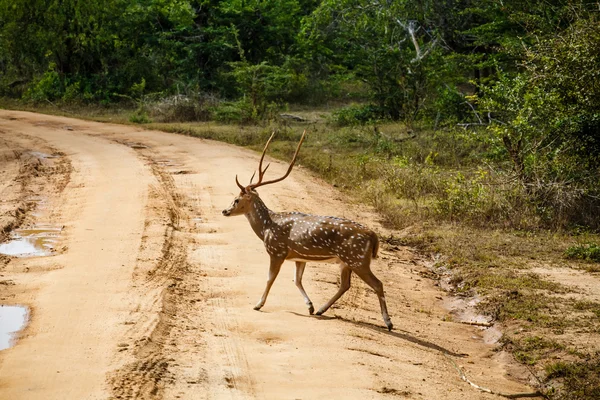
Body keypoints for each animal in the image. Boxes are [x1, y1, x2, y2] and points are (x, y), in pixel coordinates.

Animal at [221, 131, 394, 332]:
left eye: (236, 199)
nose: (224, 211)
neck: (266, 228)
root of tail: (373, 236)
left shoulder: (277, 251)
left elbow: (270, 278)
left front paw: (258, 304)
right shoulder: (299, 256)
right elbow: (297, 280)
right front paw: (310, 306)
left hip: (357, 259)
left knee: (377, 283)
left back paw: (388, 322)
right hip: (347, 261)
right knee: (346, 285)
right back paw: (320, 310)